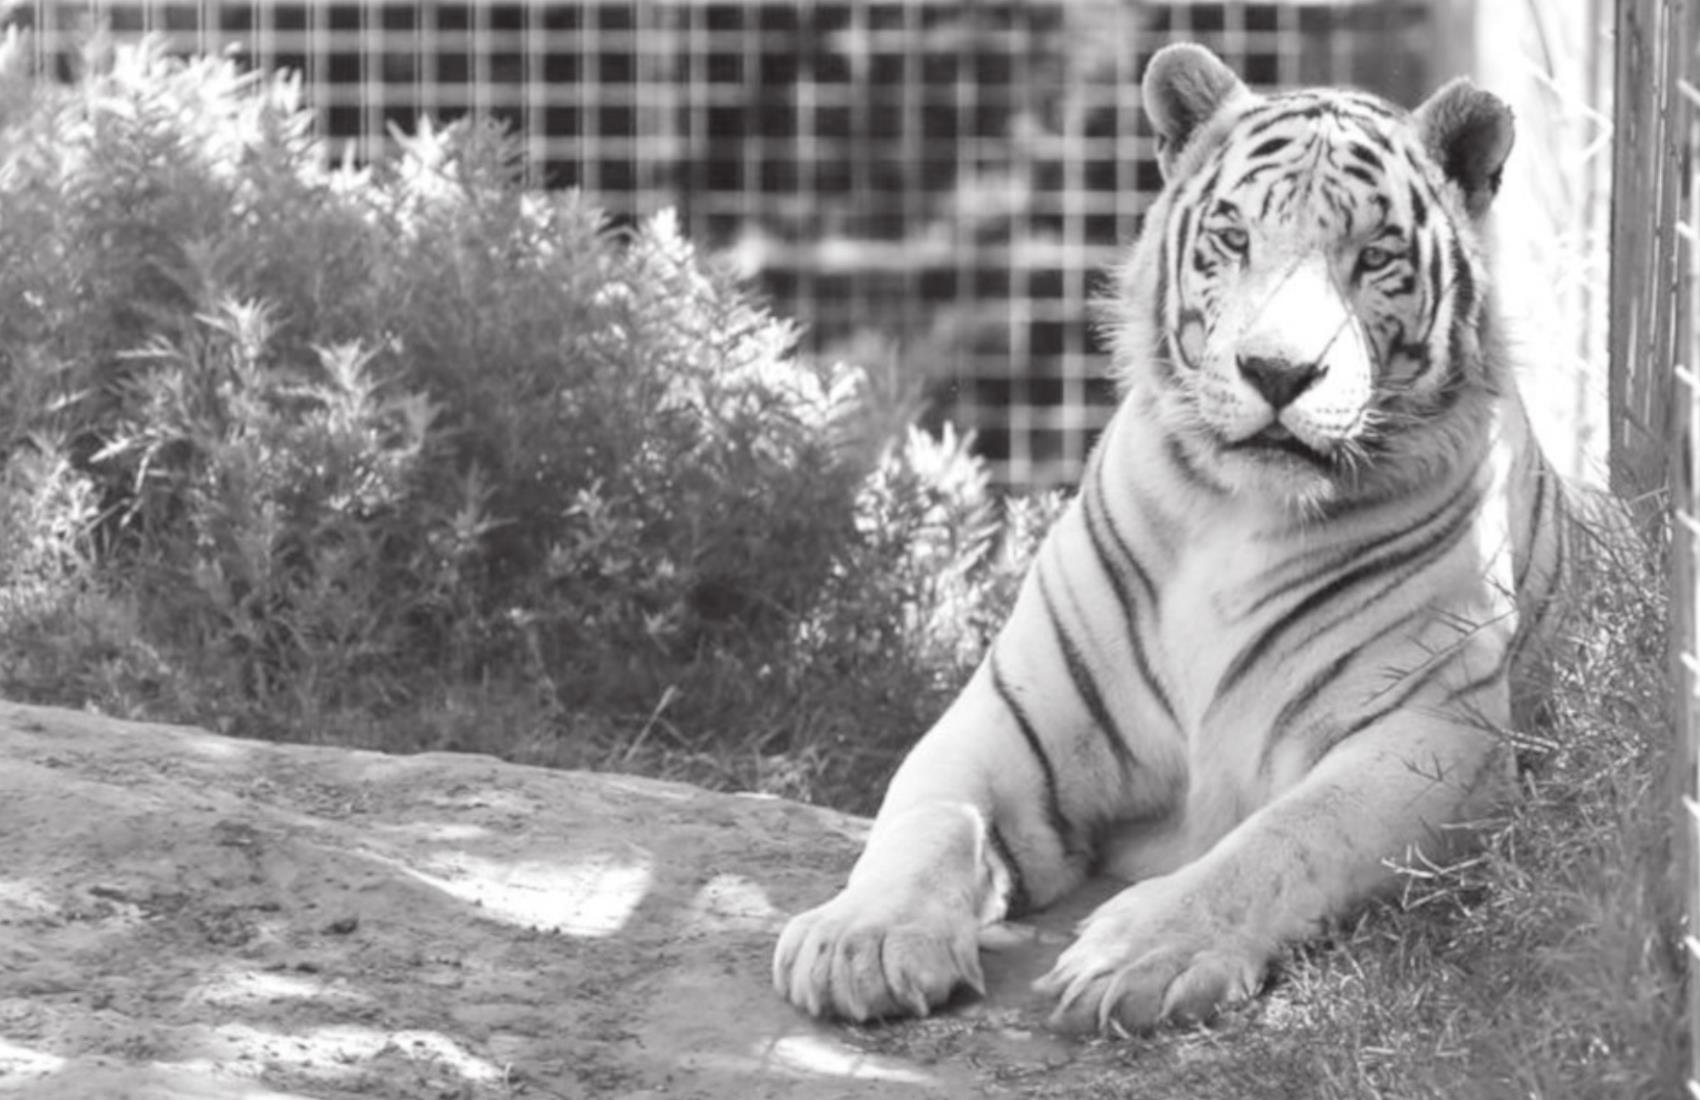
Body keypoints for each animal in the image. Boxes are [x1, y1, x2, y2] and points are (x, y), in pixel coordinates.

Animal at [772, 42, 1578, 1035]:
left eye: (1375, 256)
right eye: (1233, 238)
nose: (1278, 371)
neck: (1240, 514)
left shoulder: (1433, 735)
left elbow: (1282, 840)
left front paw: (1138, 954)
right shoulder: (1008, 718)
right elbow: (926, 821)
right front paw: (862, 940)